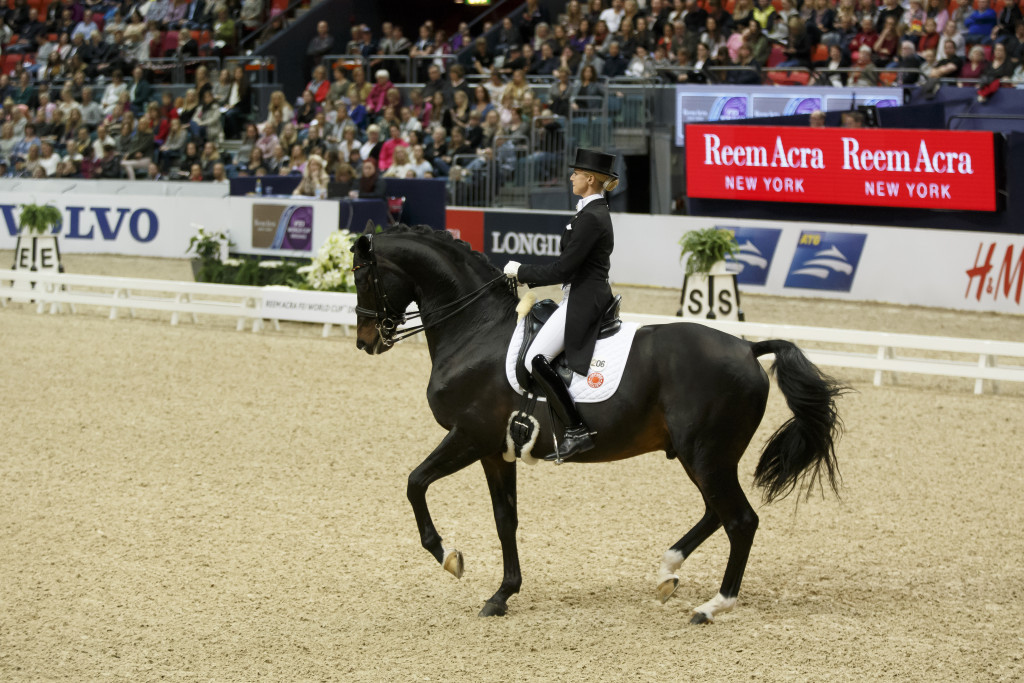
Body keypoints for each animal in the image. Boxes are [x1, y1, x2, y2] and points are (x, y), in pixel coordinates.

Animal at [352, 225, 847, 626]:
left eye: (361, 277)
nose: (366, 341)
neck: (476, 330)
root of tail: (748, 349)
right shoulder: (495, 449)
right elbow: (505, 519)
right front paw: (502, 594)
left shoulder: (469, 436)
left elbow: (415, 483)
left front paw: (448, 556)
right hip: (704, 456)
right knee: (715, 512)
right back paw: (667, 572)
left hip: (706, 454)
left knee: (740, 520)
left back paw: (711, 606)